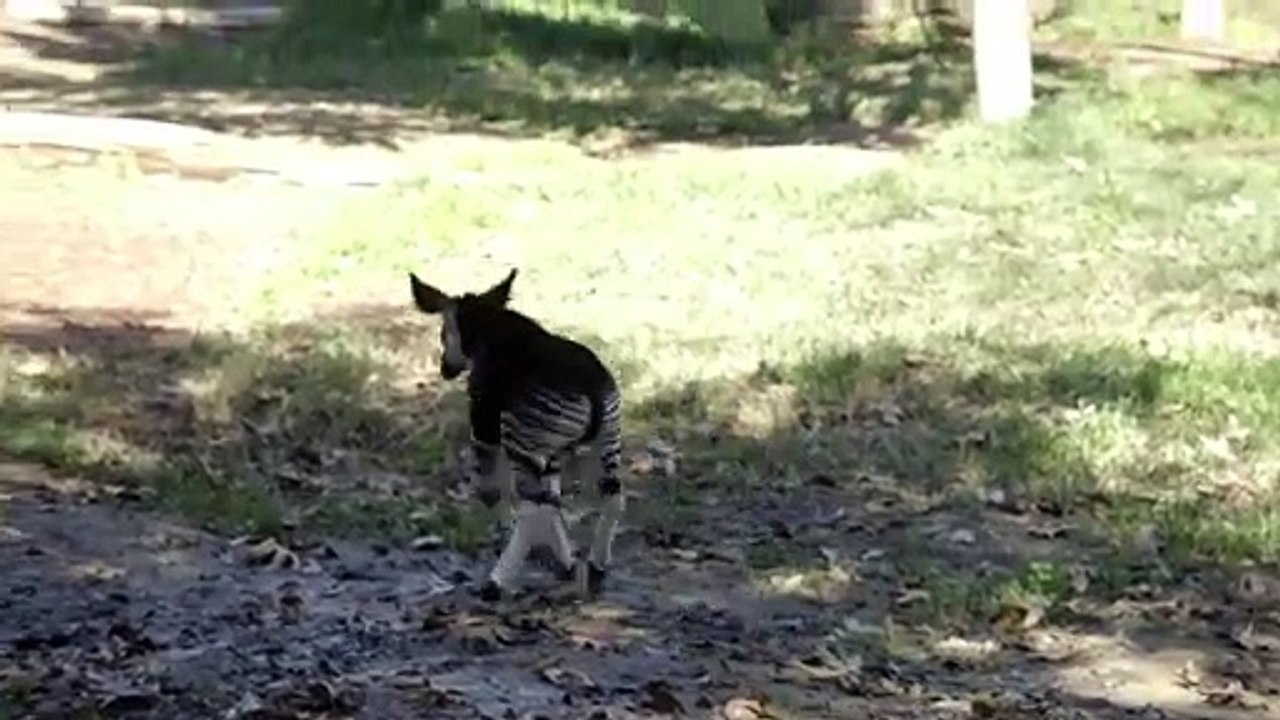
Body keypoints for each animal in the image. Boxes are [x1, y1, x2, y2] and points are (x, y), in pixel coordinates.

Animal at [408, 268, 625, 601]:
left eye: (443, 332)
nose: (446, 368)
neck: (490, 330)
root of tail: (592, 390)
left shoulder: (485, 425)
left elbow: (490, 492)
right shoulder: (551, 452)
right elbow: (552, 500)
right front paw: (567, 562)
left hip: (523, 442)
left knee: (531, 506)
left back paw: (496, 582)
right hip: (607, 440)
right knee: (610, 496)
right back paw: (597, 567)